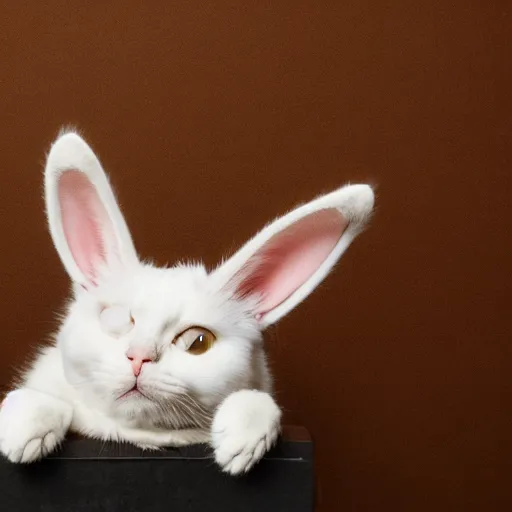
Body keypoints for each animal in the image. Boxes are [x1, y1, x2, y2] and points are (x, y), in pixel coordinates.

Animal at [0, 130, 374, 474]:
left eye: (198, 341)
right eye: (115, 321)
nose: (139, 357)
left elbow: (261, 401)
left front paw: (243, 434)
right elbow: (40, 399)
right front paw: (24, 427)